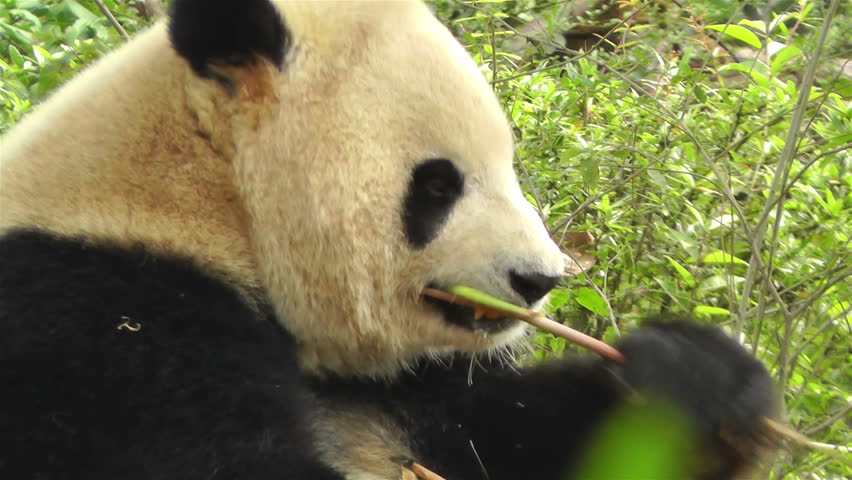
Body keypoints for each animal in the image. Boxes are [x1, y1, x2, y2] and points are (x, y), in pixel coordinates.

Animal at [0, 0, 780, 480]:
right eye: (437, 186)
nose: (539, 280)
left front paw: (698, 379)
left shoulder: (413, 388)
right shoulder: (101, 322)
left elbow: (512, 435)